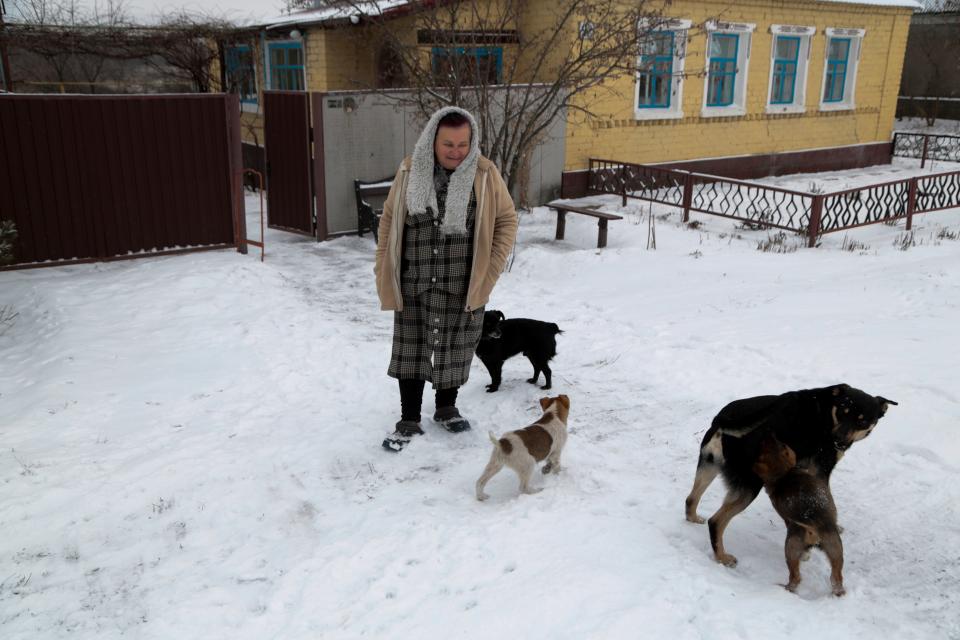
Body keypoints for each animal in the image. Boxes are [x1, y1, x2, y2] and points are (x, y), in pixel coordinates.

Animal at [684, 382, 892, 568]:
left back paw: (693, 519)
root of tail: (721, 419)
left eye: (862, 420)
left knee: (691, 499)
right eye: (843, 412)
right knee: (715, 521)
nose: (837, 440)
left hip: (709, 466)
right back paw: (722, 557)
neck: (826, 412)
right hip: (750, 486)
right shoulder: (820, 471)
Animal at [752, 436, 844, 596]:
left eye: (761, 451)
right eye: (782, 445)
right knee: (836, 578)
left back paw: (785, 588)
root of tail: (814, 527)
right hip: (835, 548)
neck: (785, 474)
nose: (769, 435)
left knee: (795, 577)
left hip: (791, 549)